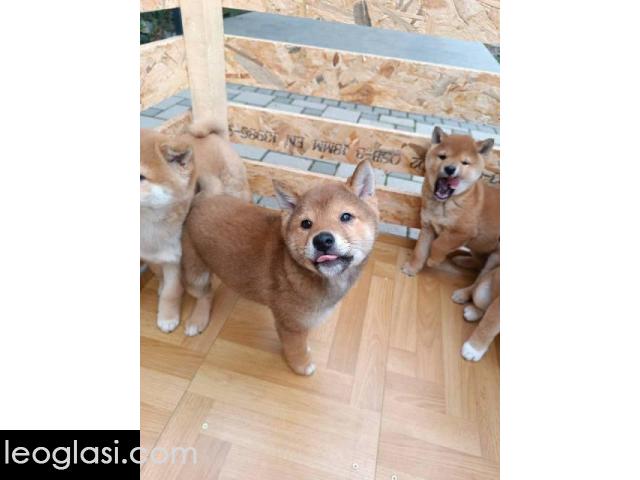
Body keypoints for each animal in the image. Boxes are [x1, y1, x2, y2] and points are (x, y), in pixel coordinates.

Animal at [140, 119, 250, 334]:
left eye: (141, 177)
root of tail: (214, 136)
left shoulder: (176, 258)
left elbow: (172, 291)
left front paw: (168, 317)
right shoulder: (152, 255)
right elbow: (159, 275)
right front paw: (161, 286)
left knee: (206, 292)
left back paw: (197, 320)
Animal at [181, 160, 379, 374]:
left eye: (345, 217)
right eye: (306, 224)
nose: (322, 240)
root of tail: (203, 200)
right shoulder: (292, 324)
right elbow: (296, 349)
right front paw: (302, 365)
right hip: (194, 273)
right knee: (204, 294)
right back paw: (198, 320)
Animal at [402, 126, 499, 276]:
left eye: (465, 163)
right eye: (443, 156)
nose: (450, 168)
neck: (443, 205)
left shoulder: (463, 232)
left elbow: (440, 244)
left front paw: (433, 260)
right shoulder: (428, 226)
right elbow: (419, 251)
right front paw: (412, 268)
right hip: (479, 248)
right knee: (480, 263)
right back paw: (463, 260)